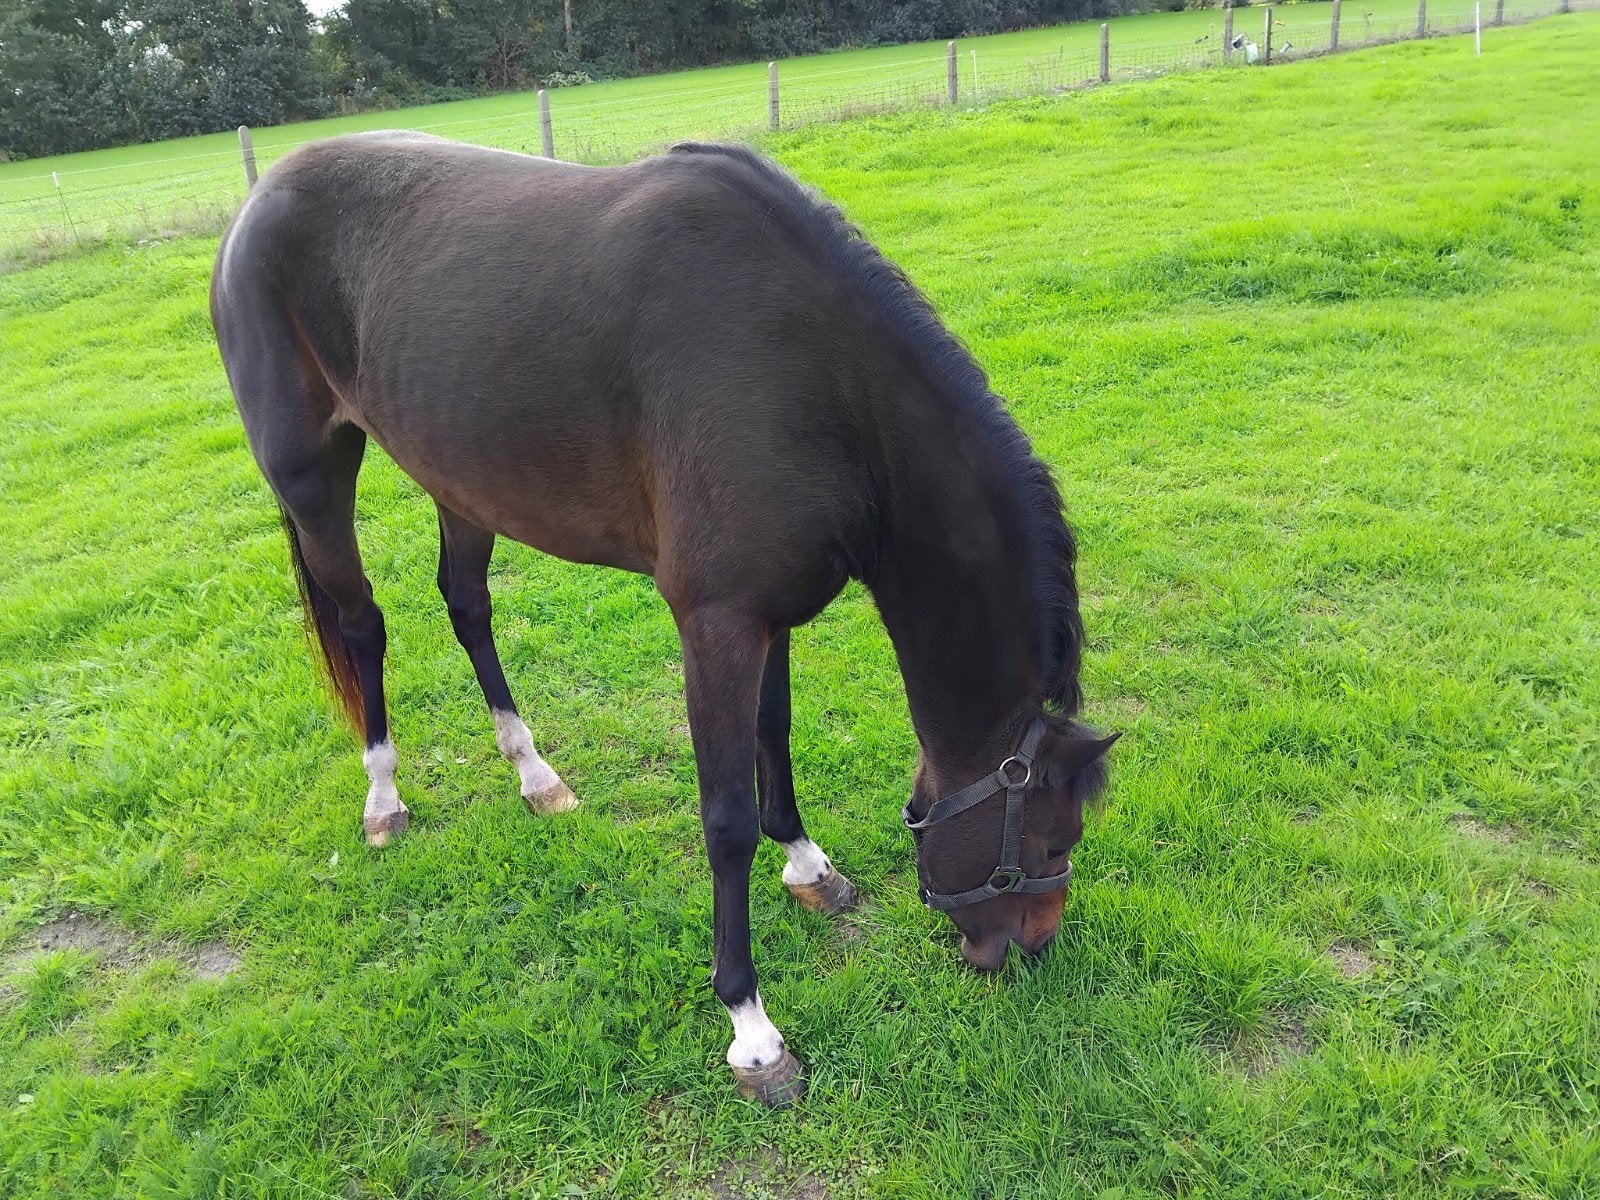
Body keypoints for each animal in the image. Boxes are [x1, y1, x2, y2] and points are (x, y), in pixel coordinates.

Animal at [210, 131, 1116, 1105]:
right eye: (1049, 838)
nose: (1026, 948)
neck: (808, 374)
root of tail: (259, 201)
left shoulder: (768, 612)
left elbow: (773, 737)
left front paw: (808, 866)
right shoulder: (715, 623)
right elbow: (724, 819)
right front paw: (752, 1030)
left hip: (458, 479)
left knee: (467, 606)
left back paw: (534, 774)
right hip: (312, 478)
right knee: (363, 627)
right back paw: (384, 796)